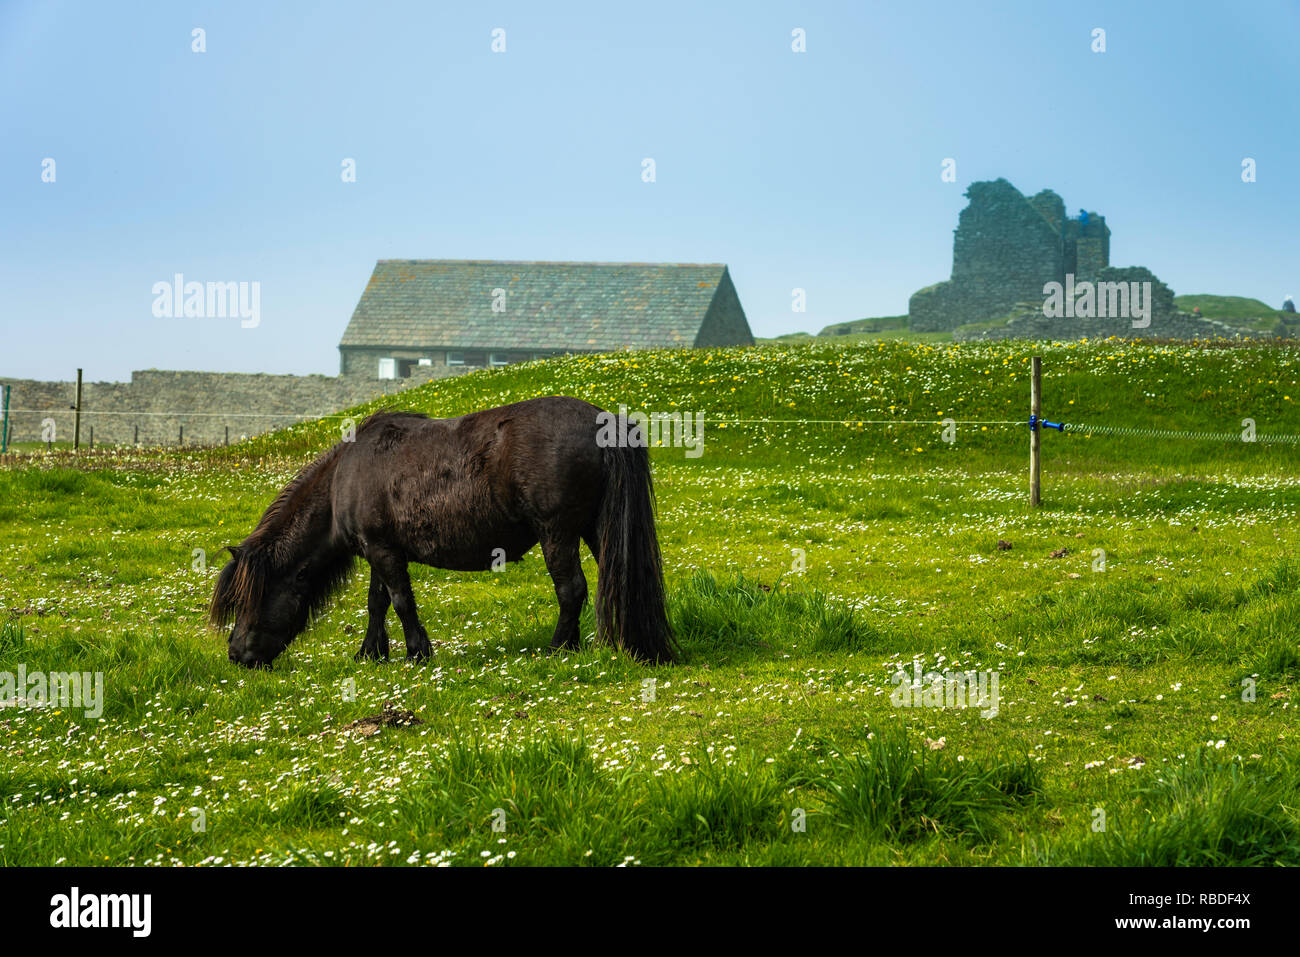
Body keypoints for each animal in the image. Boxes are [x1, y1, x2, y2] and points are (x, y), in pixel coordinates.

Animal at [208, 395, 676, 665]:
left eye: (250, 600)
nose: (235, 653)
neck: (346, 475)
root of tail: (605, 422)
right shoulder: (380, 550)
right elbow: (377, 603)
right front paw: (371, 653)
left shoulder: (384, 552)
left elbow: (401, 602)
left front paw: (417, 652)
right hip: (595, 530)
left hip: (557, 533)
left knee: (571, 589)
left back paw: (559, 648)